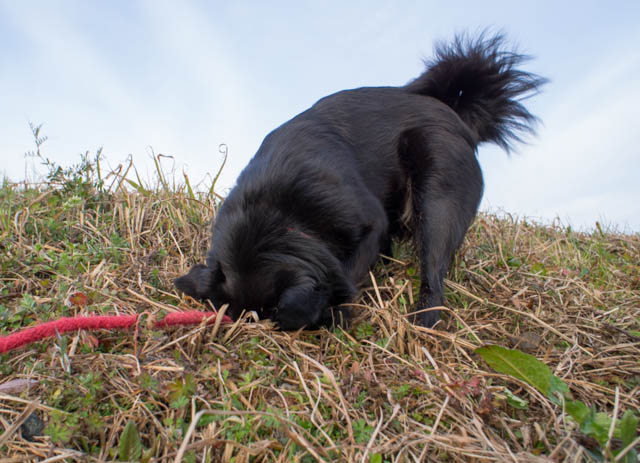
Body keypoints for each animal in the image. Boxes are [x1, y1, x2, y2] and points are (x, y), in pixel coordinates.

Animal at [174, 32, 546, 330]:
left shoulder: (370, 225)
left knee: (434, 271)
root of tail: (453, 114)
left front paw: (335, 312)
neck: (273, 213)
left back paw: (424, 320)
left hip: (436, 196)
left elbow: (350, 272)